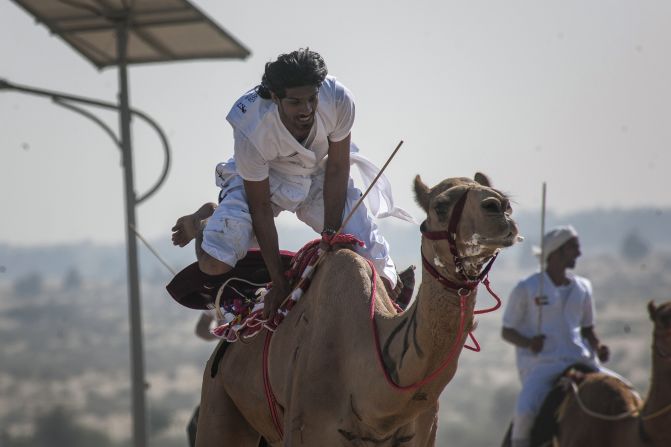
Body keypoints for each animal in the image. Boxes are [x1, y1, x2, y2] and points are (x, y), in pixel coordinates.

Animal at [194, 173, 520, 446]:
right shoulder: (307, 429)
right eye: (440, 206)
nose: (500, 208)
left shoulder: (423, 435)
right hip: (217, 400)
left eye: (502, 198)